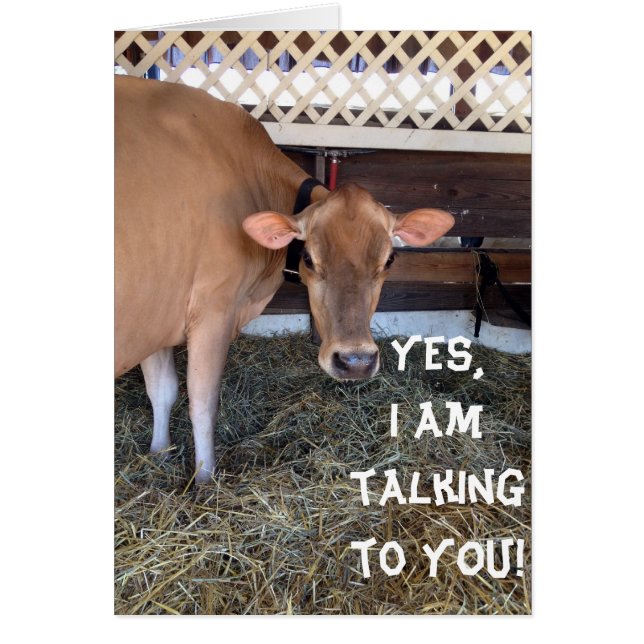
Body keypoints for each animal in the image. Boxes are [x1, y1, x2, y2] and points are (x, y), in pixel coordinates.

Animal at [115, 75, 455, 483]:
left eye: (389, 259)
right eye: (308, 257)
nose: (355, 361)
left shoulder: (157, 315)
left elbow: (162, 390)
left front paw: (158, 454)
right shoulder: (213, 309)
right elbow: (202, 401)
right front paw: (205, 479)